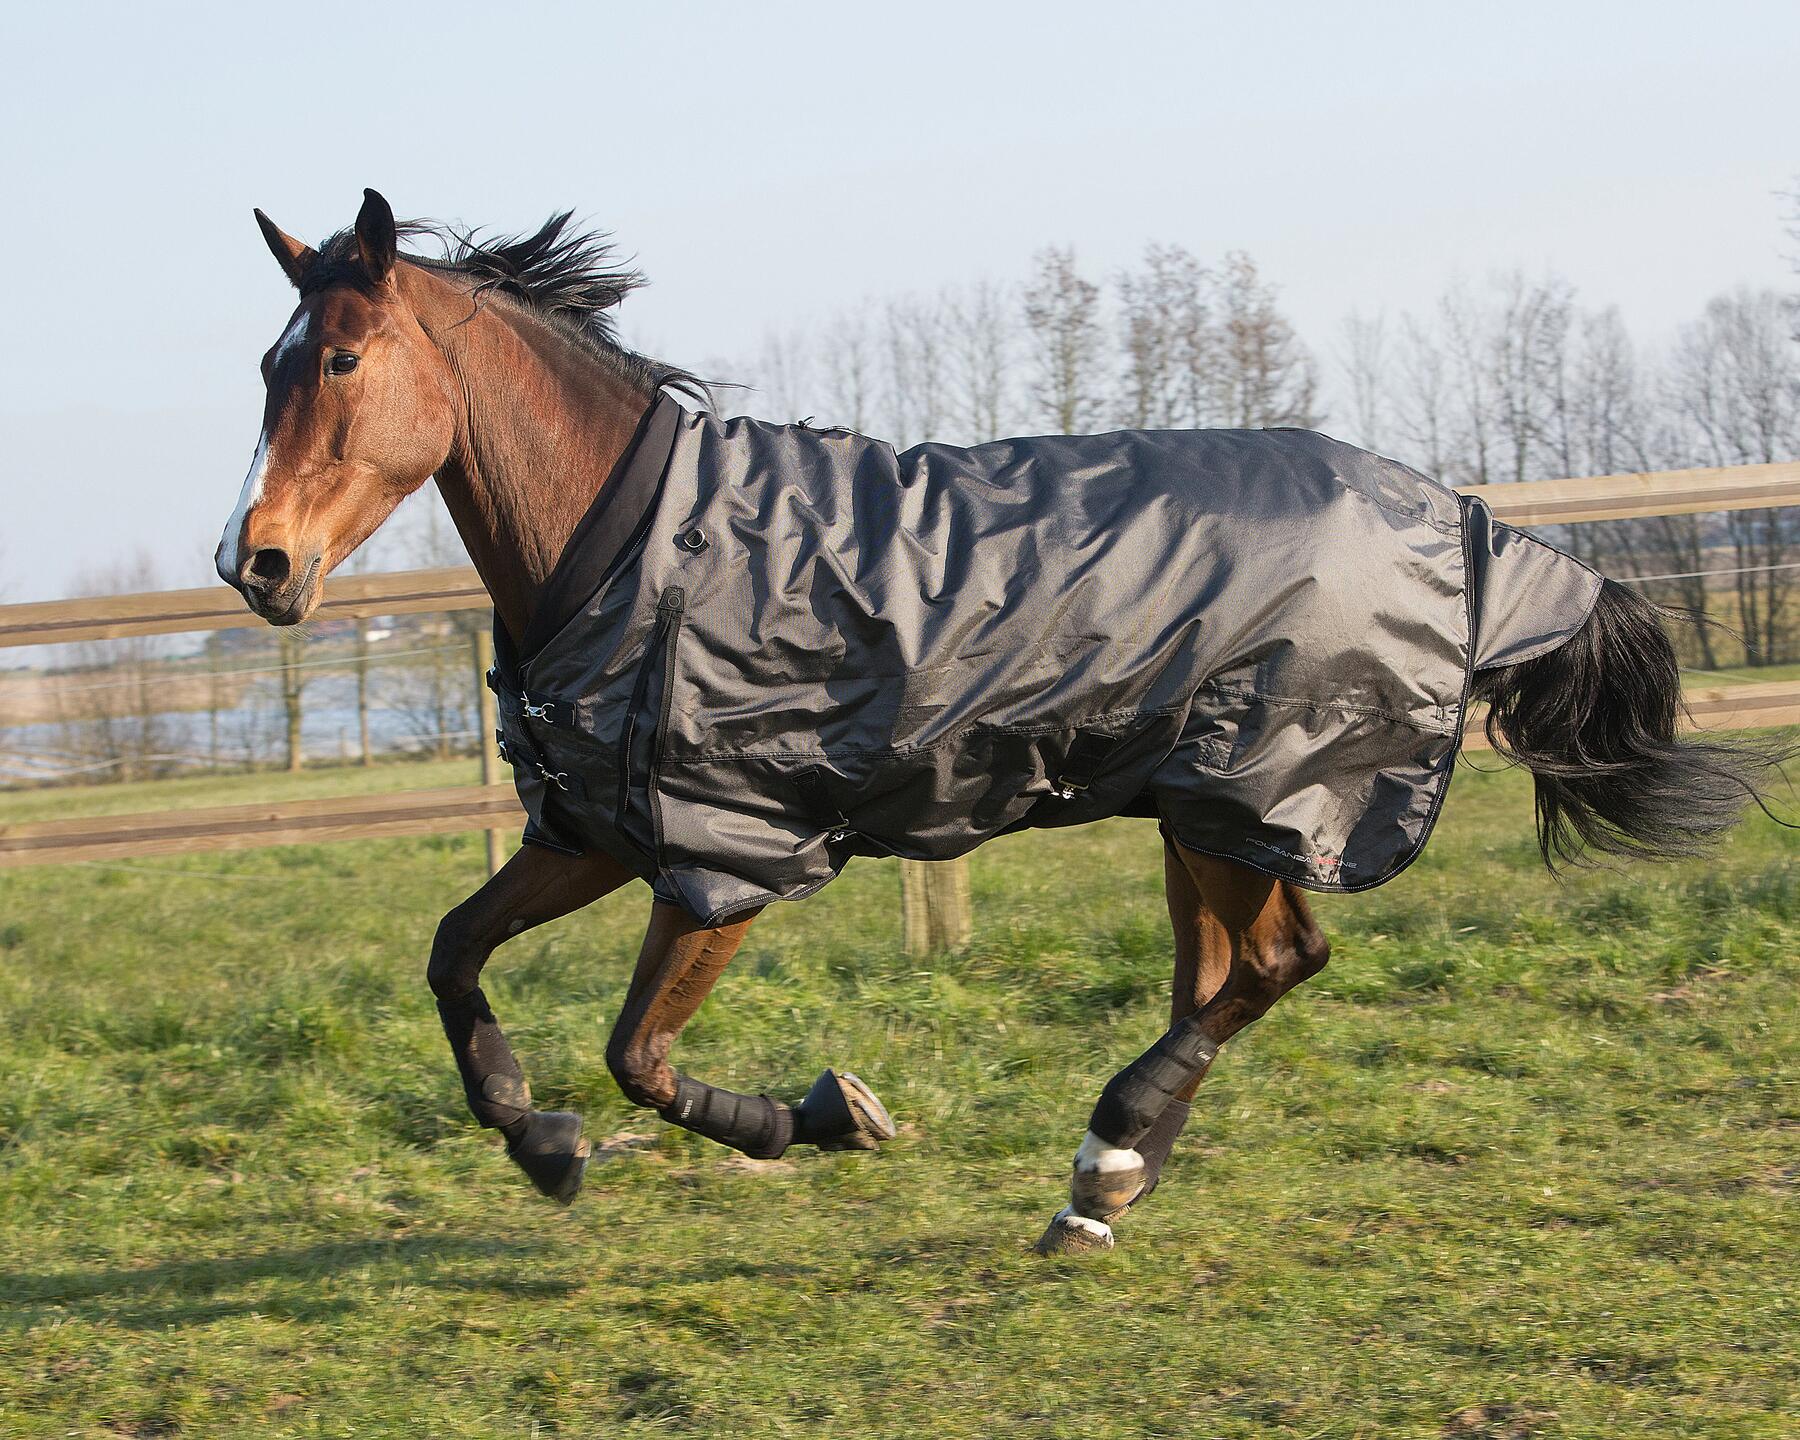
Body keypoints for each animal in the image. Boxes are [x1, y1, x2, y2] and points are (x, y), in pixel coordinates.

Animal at [218, 189, 1785, 1254]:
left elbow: (639, 1058)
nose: (260, 566)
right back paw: (1107, 1187)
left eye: (341, 361)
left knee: (1279, 962)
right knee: (1224, 974)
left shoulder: (733, 853)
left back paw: (1108, 1154)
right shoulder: (602, 825)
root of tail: (1457, 519)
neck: (640, 545)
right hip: (1198, 814)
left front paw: (825, 1114)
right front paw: (541, 1144)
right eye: (267, 366)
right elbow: (453, 954)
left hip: (1251, 794)